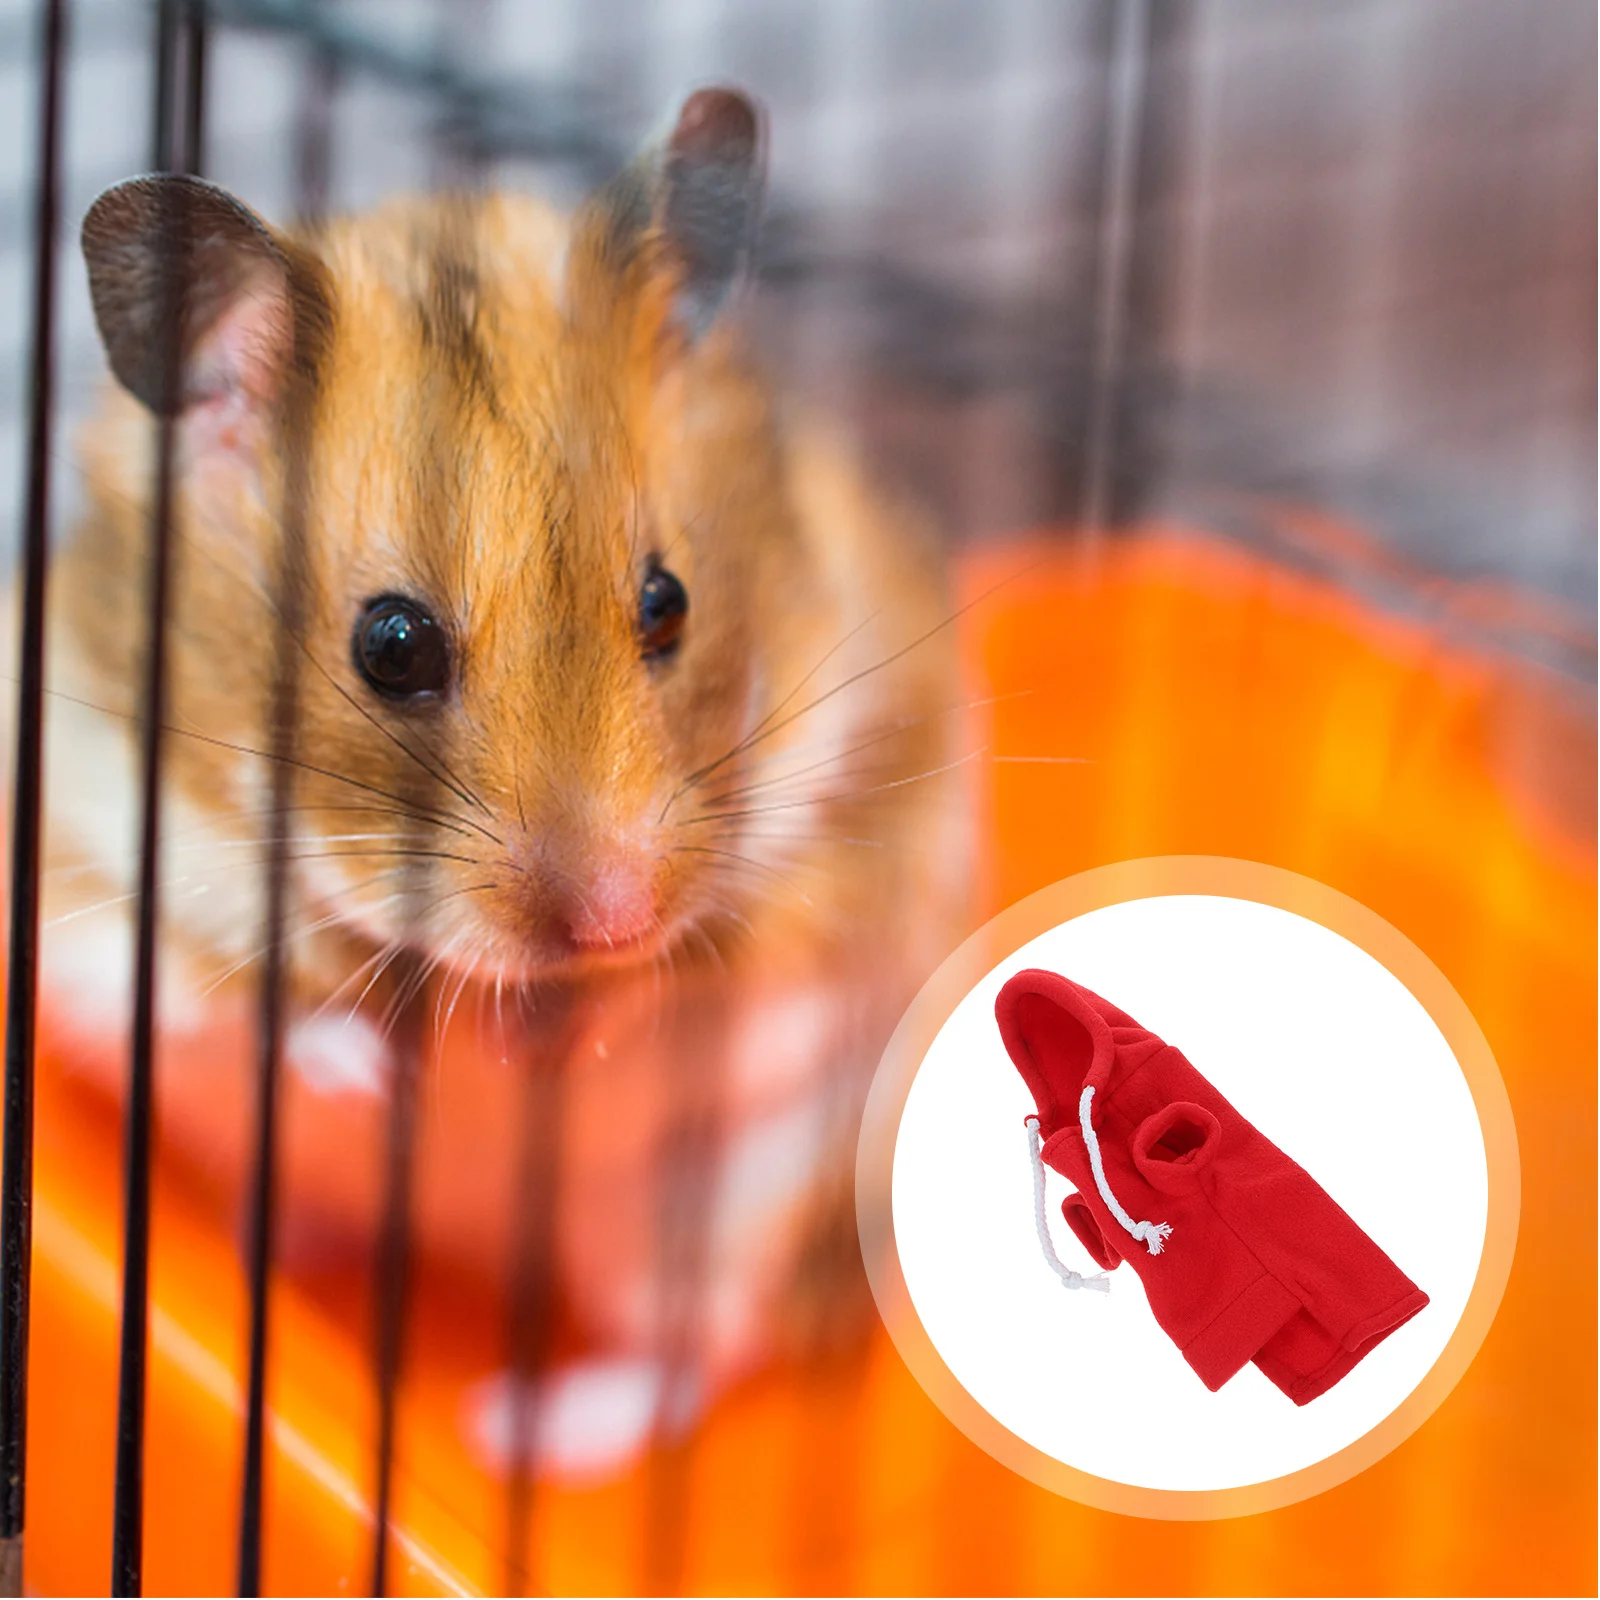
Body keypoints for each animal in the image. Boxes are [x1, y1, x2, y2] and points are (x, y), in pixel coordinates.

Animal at [36, 89, 971, 1470]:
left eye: (668, 600)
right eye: (391, 644)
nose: (618, 919)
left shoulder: (839, 849)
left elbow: (705, 977)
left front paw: (542, 1042)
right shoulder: (95, 859)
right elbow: (251, 999)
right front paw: (396, 1075)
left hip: (723, 1212)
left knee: (692, 1353)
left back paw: (520, 1431)